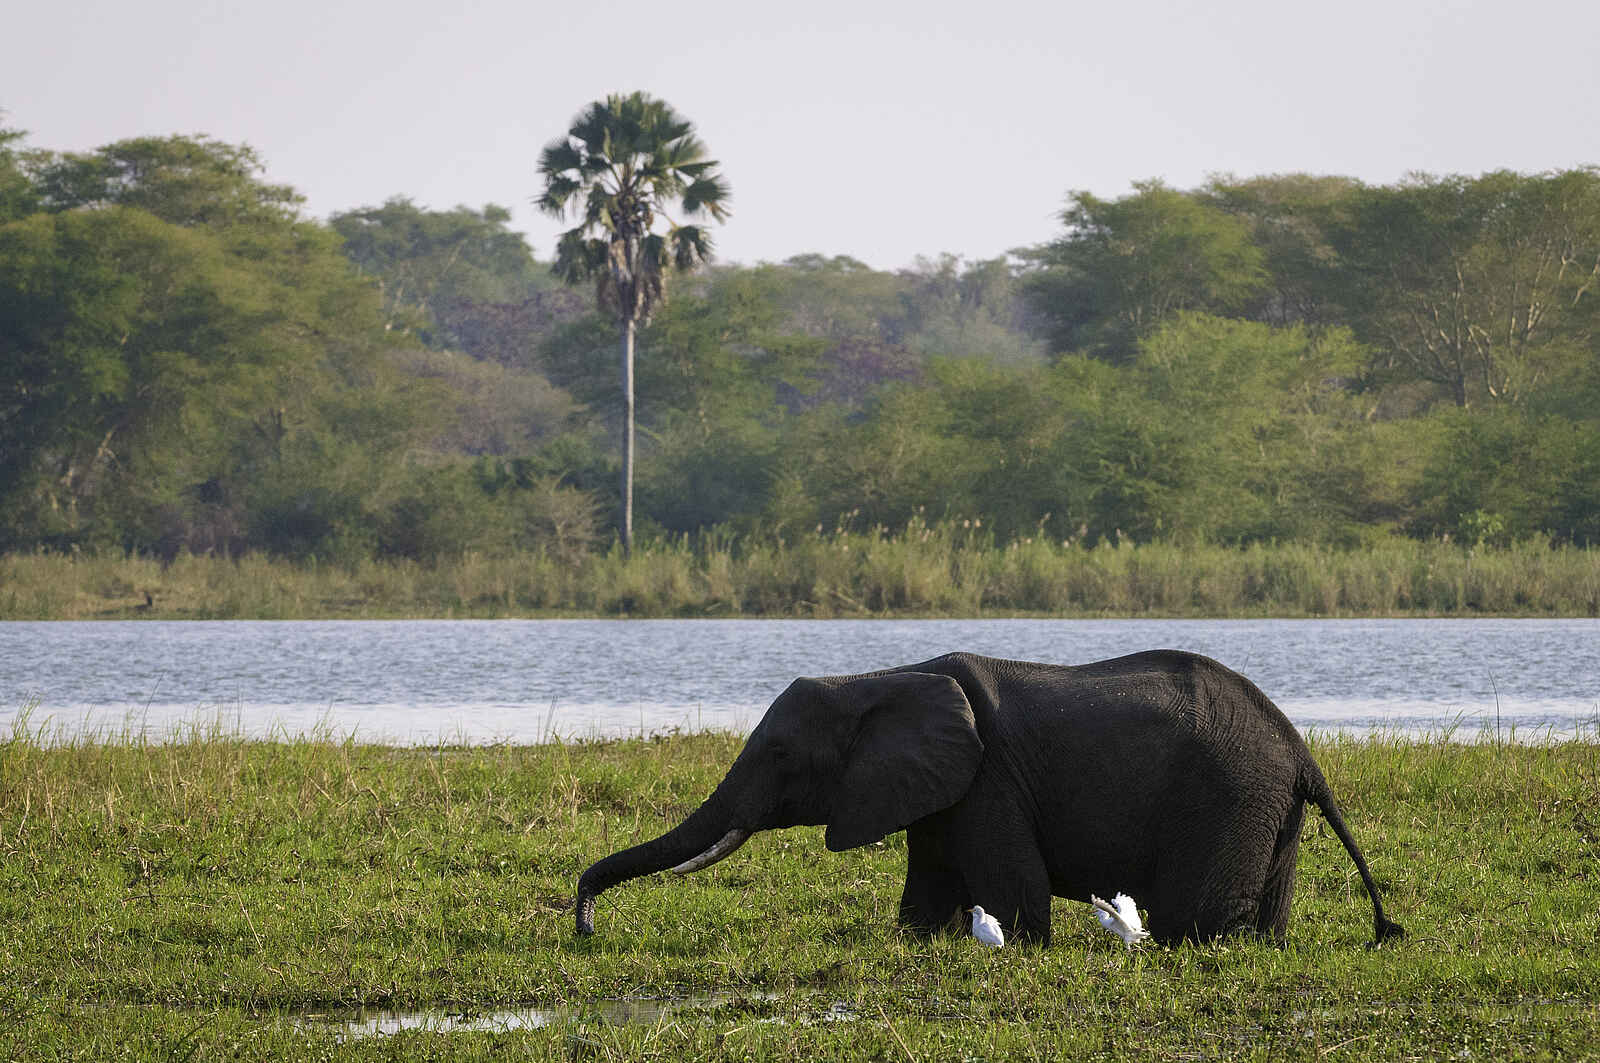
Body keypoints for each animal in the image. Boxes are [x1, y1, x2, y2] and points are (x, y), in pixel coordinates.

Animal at [575, 650, 1404, 947]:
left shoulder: (990, 781)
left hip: (1227, 793)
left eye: (780, 755)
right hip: (1265, 803)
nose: (584, 925)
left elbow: (1016, 894)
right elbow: (929, 887)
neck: (884, 676)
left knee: (1194, 918)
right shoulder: (938, 787)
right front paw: (920, 937)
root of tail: (1301, 750)